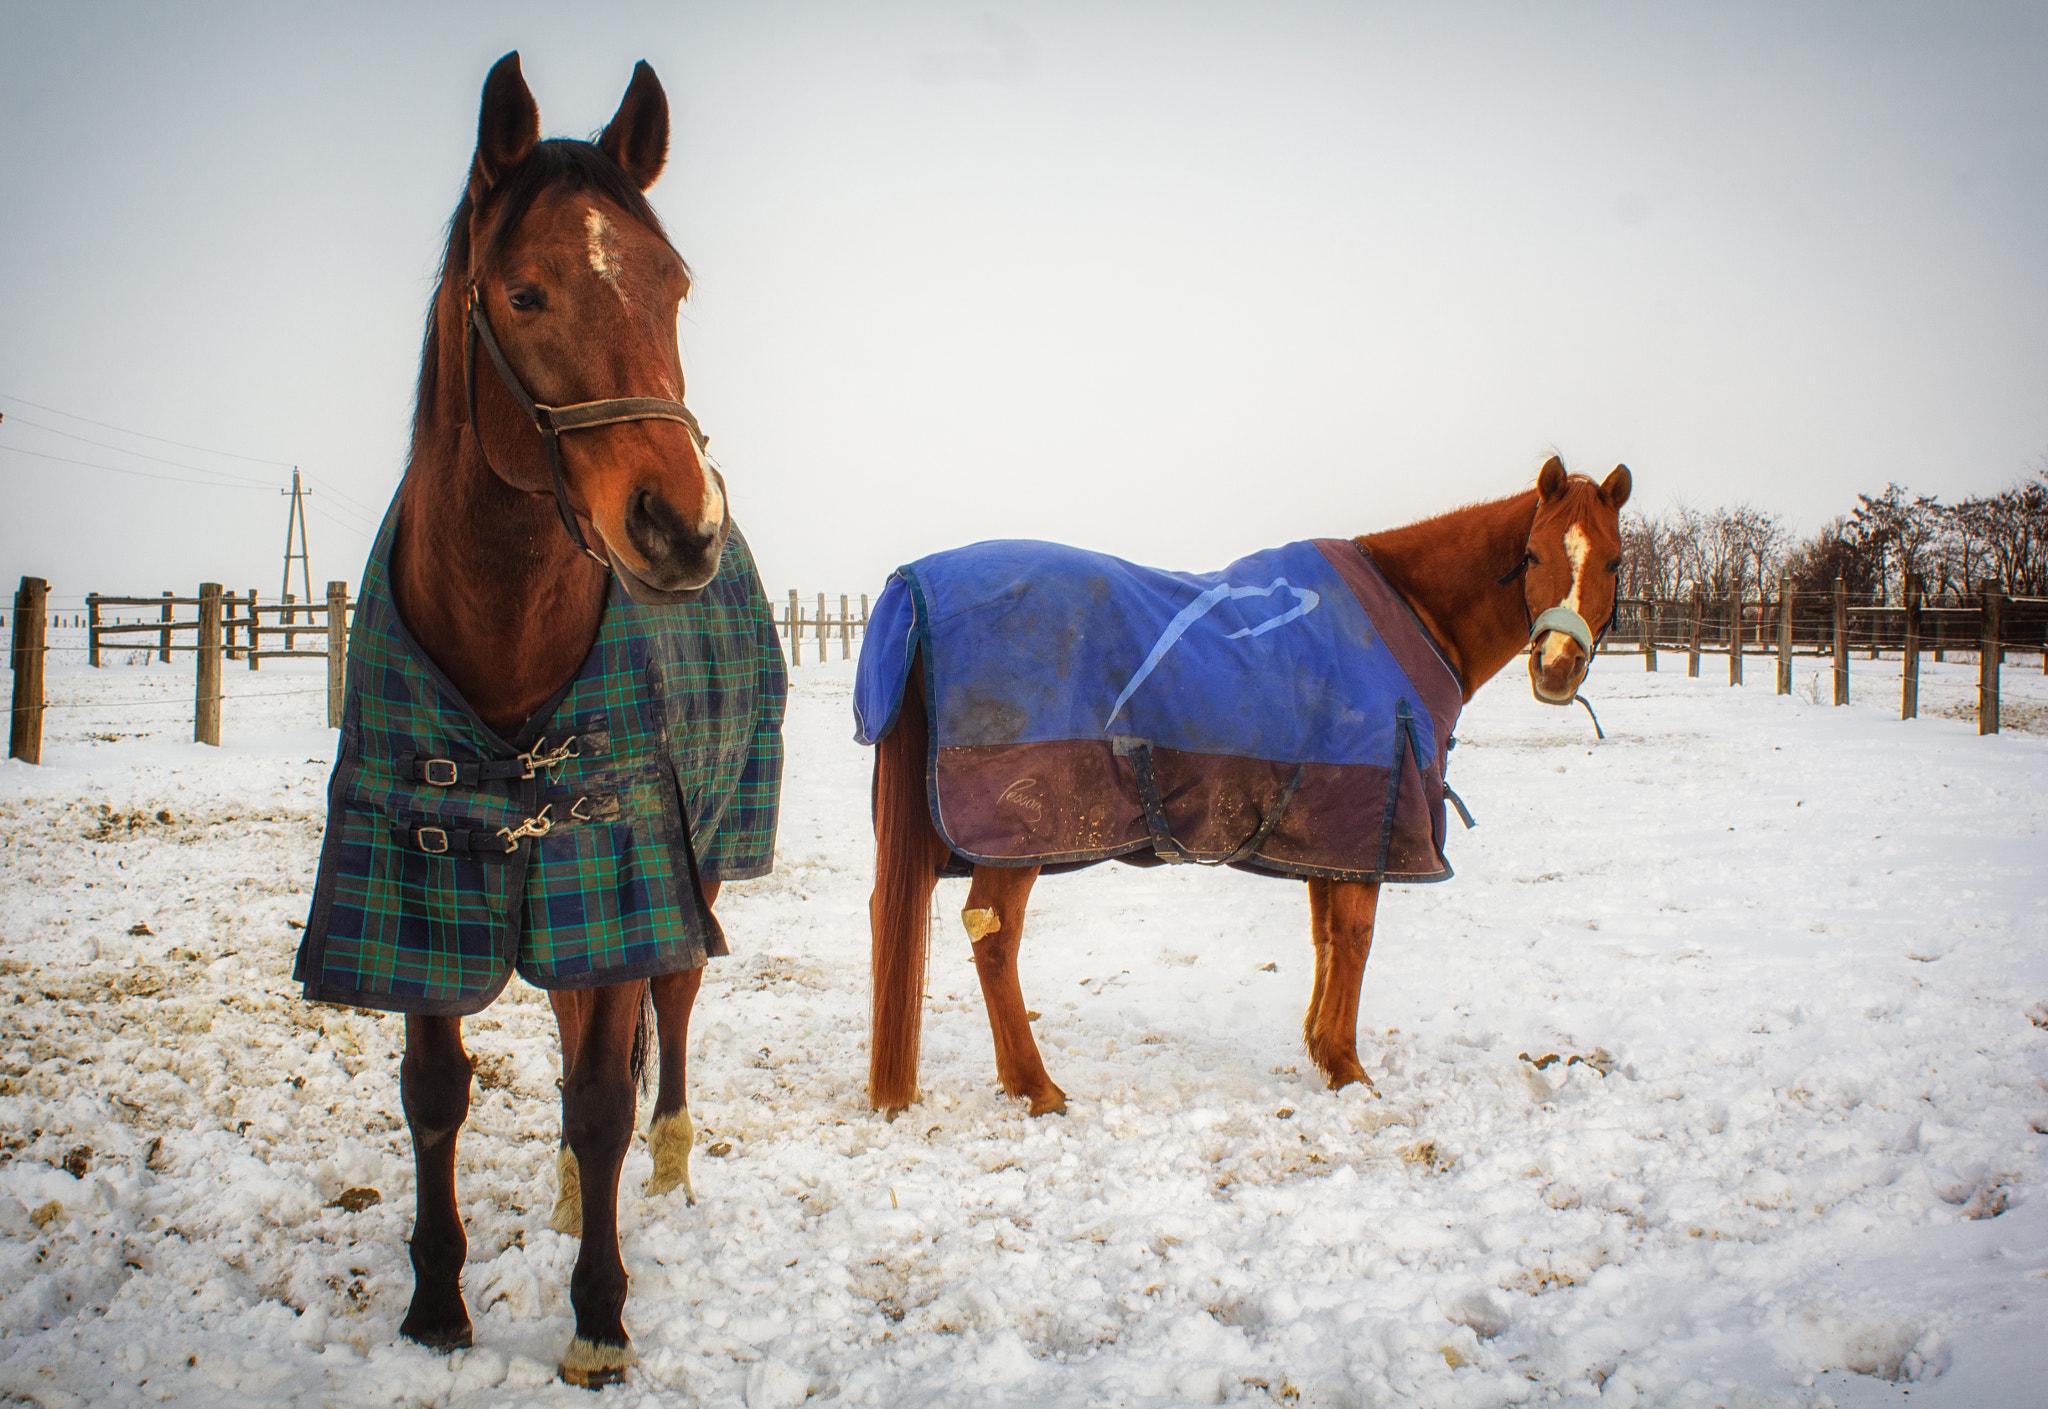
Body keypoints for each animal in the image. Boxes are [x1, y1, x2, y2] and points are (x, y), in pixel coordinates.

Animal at [296, 52, 770, 1384]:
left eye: (672, 285)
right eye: (523, 289)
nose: (679, 526)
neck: (503, 629)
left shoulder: (619, 856)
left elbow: (605, 1092)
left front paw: (599, 1319)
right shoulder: (421, 875)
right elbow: (435, 1091)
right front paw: (435, 1303)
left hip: (690, 862)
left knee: (665, 1008)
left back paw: (661, 1164)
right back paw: (562, 1194)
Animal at [864, 456, 1630, 1114]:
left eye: (1615, 560)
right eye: (1533, 556)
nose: (1558, 667)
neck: (1409, 613)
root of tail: (913, 583)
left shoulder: (1332, 828)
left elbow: (1326, 934)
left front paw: (1321, 1046)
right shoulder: (1371, 822)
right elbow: (1356, 935)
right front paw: (1348, 1069)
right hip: (1014, 834)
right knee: (993, 934)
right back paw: (1036, 1086)